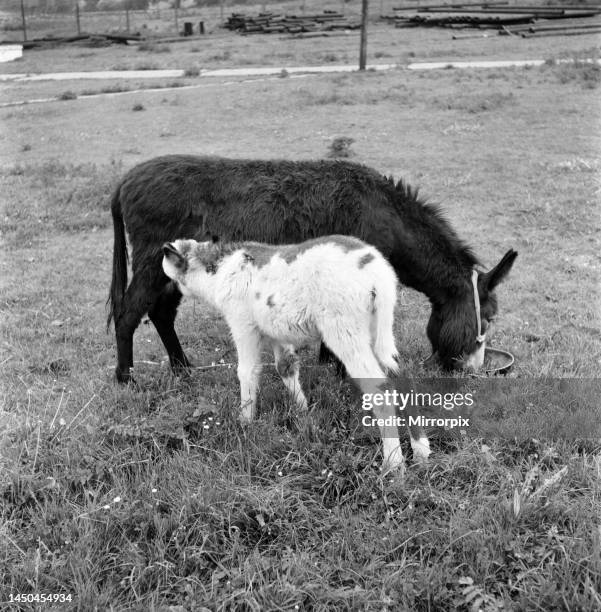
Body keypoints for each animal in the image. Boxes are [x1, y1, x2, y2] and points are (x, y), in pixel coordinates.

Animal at [159, 235, 422, 474]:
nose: (167, 296)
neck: (219, 271)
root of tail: (376, 272)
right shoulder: (276, 332)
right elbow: (286, 368)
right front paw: (304, 413)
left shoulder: (243, 324)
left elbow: (247, 372)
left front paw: (245, 422)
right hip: (380, 329)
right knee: (401, 377)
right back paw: (421, 453)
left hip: (344, 331)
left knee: (380, 389)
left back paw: (394, 464)